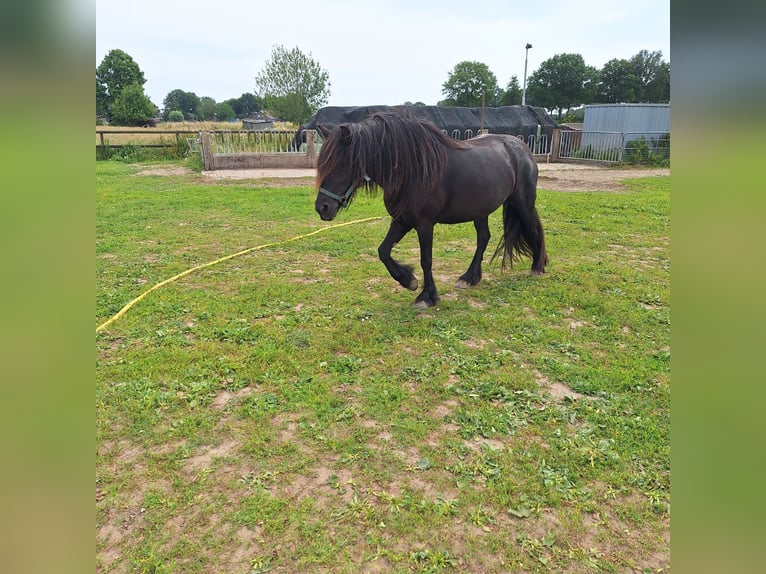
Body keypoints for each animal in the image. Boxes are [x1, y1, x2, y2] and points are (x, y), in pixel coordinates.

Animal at [314, 111, 548, 309]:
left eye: (342, 163)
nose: (322, 208)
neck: (412, 170)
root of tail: (522, 147)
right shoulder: (402, 220)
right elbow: (383, 251)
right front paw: (408, 280)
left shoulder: (425, 225)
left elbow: (426, 260)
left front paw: (427, 296)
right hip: (480, 211)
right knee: (484, 238)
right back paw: (469, 278)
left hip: (523, 203)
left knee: (533, 229)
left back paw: (537, 267)